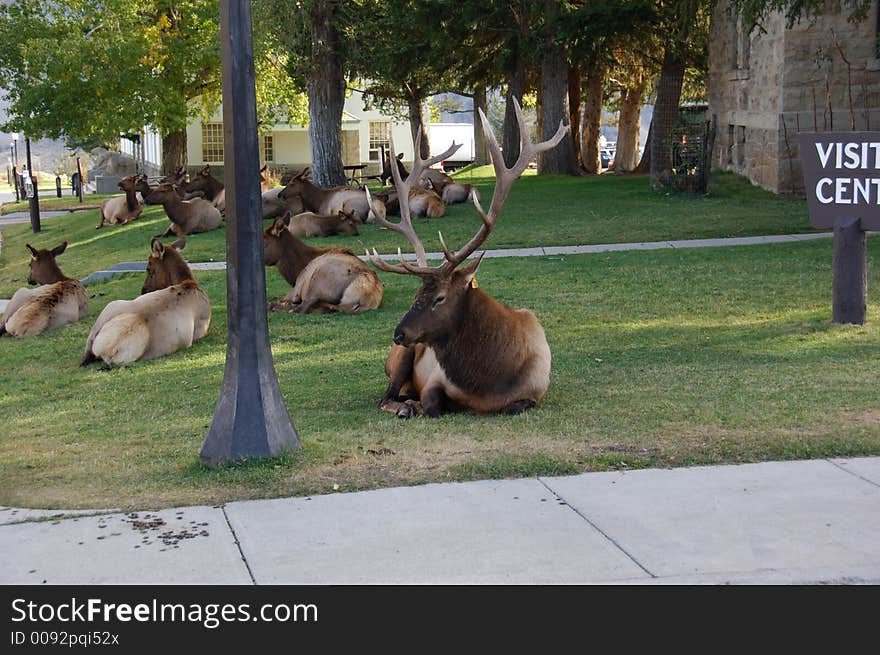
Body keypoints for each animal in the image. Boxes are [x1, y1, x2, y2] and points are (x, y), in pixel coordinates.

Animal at [83, 237, 213, 368]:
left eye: (148, 268)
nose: (143, 291)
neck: (189, 283)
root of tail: (108, 349)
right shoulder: (203, 330)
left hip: (108, 310)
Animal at [366, 100, 568, 418]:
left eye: (440, 298)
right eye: (416, 295)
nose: (398, 334)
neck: (488, 379)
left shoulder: (535, 391)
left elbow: (515, 406)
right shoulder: (435, 380)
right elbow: (432, 404)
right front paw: (417, 406)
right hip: (403, 357)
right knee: (386, 398)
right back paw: (405, 406)